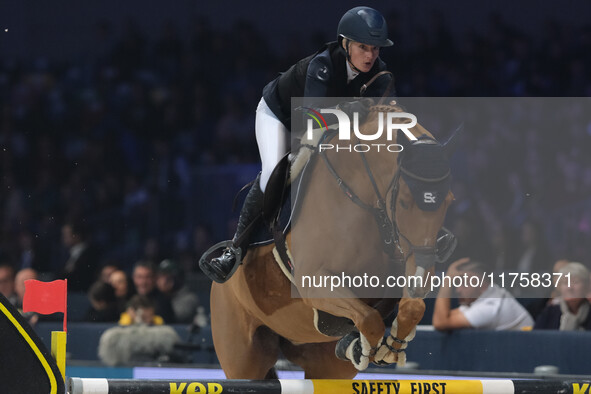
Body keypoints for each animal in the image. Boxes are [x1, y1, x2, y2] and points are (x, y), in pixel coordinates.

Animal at [210, 101, 460, 378]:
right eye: (405, 202)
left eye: (449, 201)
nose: (420, 279)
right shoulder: (314, 282)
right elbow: (369, 318)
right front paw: (363, 348)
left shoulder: (403, 260)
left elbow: (411, 308)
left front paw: (390, 345)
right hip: (243, 357)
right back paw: (225, 260)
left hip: (323, 364)